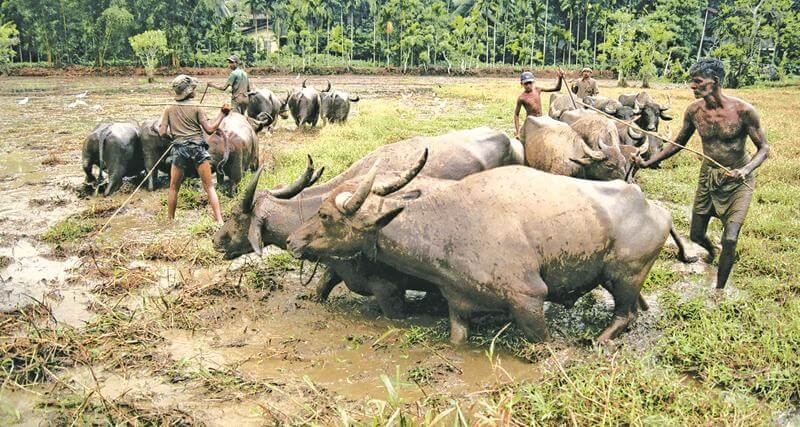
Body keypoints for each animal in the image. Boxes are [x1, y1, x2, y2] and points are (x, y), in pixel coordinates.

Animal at [288, 162, 668, 346]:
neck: (448, 225)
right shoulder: (459, 306)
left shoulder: (529, 299)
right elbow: (458, 339)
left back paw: (599, 340)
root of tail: (654, 209)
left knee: (624, 314)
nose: (293, 240)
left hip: (624, 276)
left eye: (325, 215)